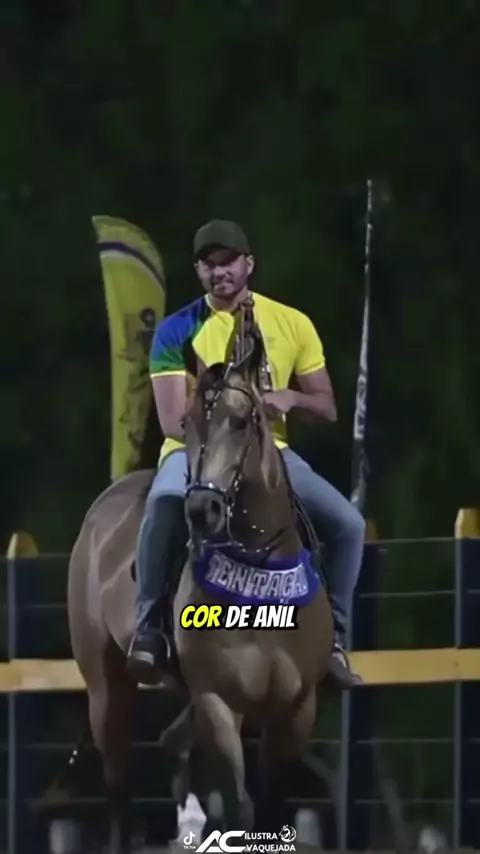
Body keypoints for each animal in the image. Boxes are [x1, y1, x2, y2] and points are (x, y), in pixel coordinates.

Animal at [67, 333, 333, 852]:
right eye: (187, 422)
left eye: (242, 419)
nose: (203, 509)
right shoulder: (218, 702)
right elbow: (240, 807)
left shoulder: (295, 709)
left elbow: (270, 805)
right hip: (106, 688)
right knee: (120, 789)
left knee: (172, 744)